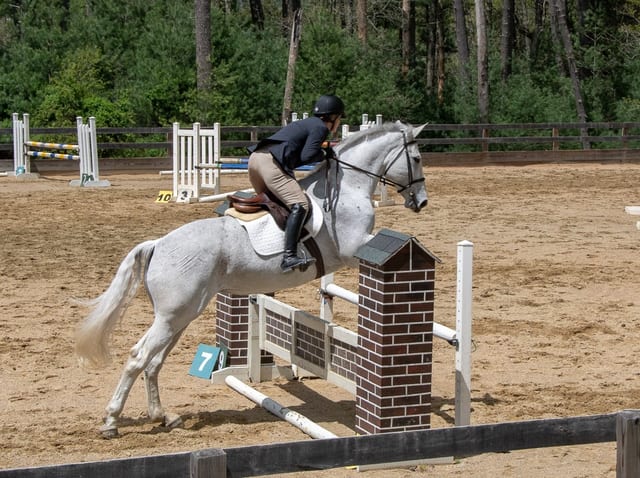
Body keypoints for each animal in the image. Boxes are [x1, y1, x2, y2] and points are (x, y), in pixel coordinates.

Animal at [75, 121, 428, 437]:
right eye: (417, 158)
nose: (421, 201)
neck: (349, 185)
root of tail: (158, 244)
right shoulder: (353, 247)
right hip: (173, 316)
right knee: (139, 358)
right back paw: (111, 422)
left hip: (182, 316)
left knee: (154, 361)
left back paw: (164, 417)